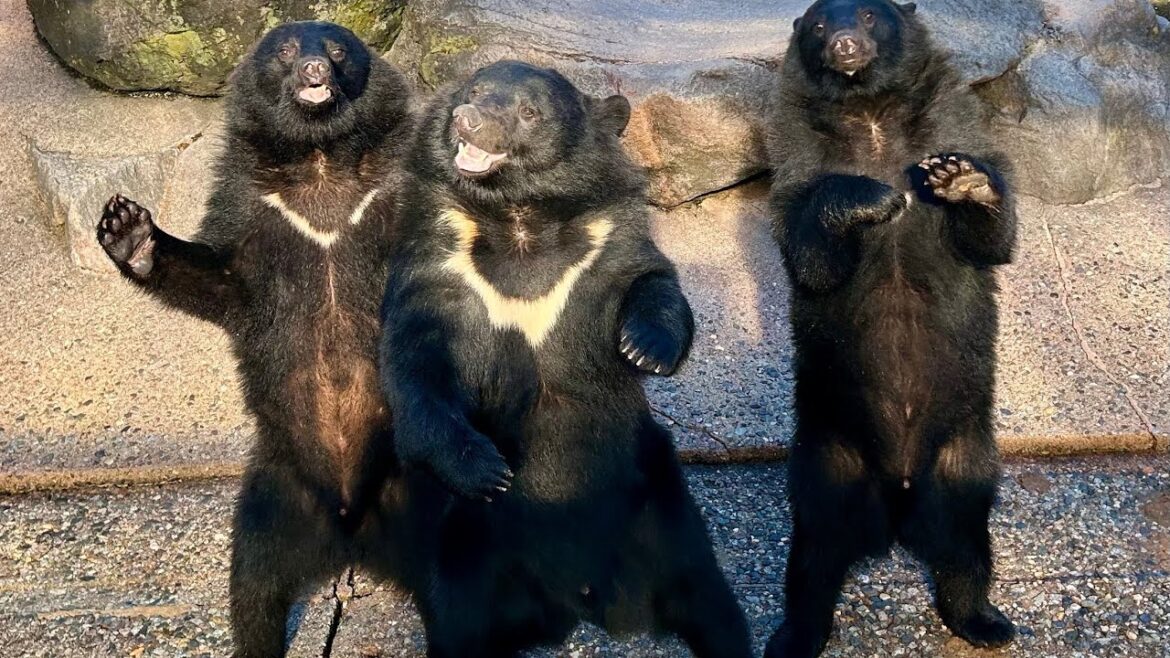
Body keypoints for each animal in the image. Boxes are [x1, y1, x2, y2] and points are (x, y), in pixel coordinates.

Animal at [95, 22, 415, 658]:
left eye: (338, 49)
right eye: (287, 50)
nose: (316, 69)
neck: (319, 161)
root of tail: (349, 523)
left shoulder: (390, 192)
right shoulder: (251, 207)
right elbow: (222, 279)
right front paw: (126, 227)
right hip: (273, 495)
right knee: (254, 590)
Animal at [377, 60, 752, 658]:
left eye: (530, 112)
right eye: (474, 91)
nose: (469, 119)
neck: (517, 217)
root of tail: (580, 601)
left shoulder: (605, 242)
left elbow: (651, 278)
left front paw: (644, 348)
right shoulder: (438, 261)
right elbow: (416, 359)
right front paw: (486, 468)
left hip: (660, 500)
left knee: (707, 592)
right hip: (465, 545)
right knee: (457, 618)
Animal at [762, 1, 1019, 657]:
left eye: (870, 15)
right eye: (818, 26)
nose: (846, 44)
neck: (871, 116)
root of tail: (899, 502)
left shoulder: (954, 117)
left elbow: (992, 237)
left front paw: (959, 178)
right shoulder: (797, 155)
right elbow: (809, 251)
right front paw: (869, 198)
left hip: (965, 453)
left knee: (965, 543)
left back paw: (985, 621)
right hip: (828, 456)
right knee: (814, 555)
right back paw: (795, 635)